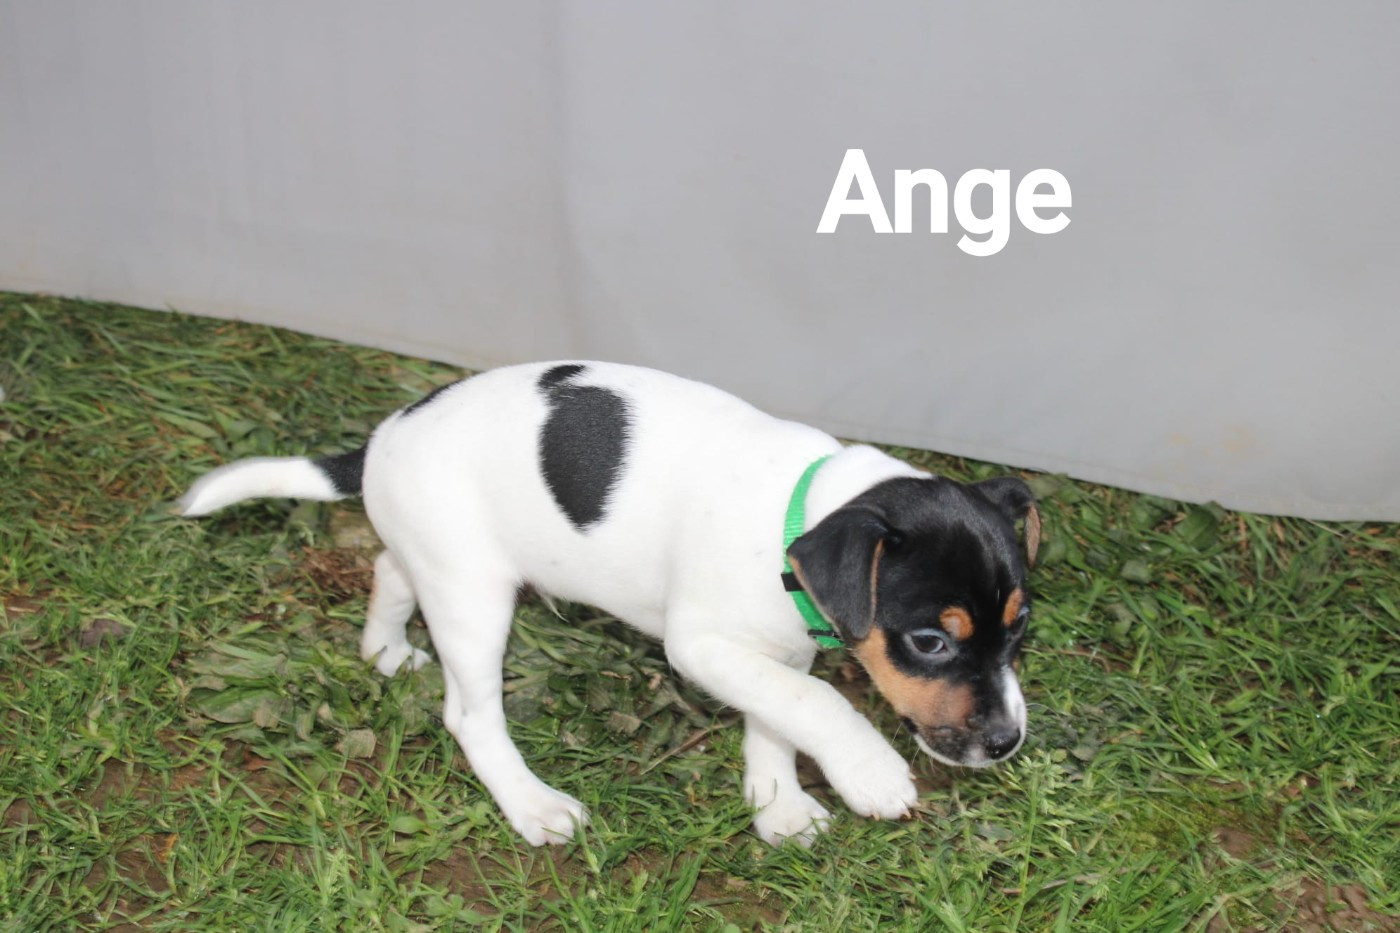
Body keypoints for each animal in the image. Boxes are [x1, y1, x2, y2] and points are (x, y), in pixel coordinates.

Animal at [180, 361, 1039, 846]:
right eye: (930, 641)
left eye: (1020, 628)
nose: (1006, 742)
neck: (798, 512)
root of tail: (384, 437)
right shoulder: (704, 645)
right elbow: (817, 703)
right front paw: (868, 772)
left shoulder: (772, 650)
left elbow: (777, 716)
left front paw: (779, 806)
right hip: (474, 598)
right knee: (470, 715)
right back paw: (532, 805)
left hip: (439, 559)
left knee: (391, 565)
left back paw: (385, 646)